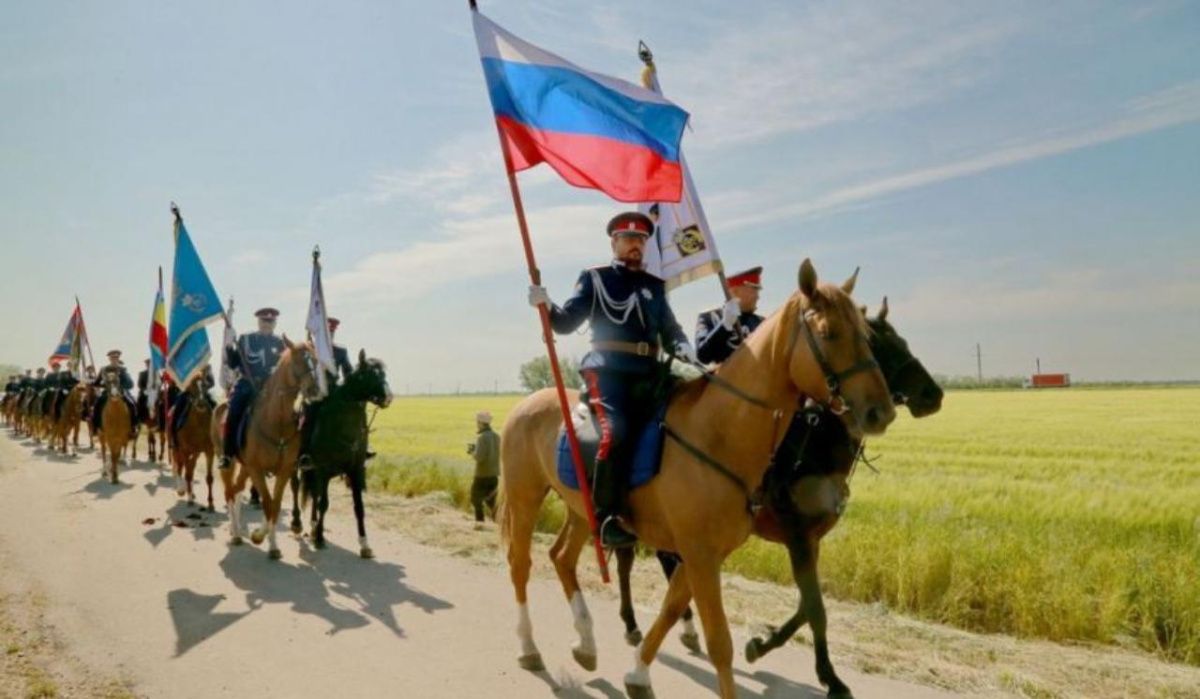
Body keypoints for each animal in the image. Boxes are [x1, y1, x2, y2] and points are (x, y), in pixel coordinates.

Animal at [174, 381, 218, 511]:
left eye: (205, 384)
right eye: (192, 385)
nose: (201, 403)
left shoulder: (209, 451)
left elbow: (209, 478)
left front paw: (211, 503)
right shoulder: (185, 451)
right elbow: (187, 474)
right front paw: (189, 499)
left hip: (196, 453)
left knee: (191, 468)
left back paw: (191, 492)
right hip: (178, 449)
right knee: (180, 467)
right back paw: (182, 491)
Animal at [213, 338, 319, 564]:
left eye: (315, 360)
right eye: (297, 361)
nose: (314, 389)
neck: (276, 421)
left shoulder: (284, 471)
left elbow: (275, 505)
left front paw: (269, 542)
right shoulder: (257, 470)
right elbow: (268, 503)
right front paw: (263, 539)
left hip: (245, 467)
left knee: (237, 489)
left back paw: (237, 528)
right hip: (228, 462)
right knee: (229, 491)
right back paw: (235, 533)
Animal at [290, 353, 388, 562]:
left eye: (383, 373)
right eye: (367, 374)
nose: (388, 397)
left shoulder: (354, 471)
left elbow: (358, 507)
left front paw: (364, 544)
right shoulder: (324, 469)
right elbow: (324, 504)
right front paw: (319, 538)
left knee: (314, 494)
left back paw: (312, 526)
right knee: (295, 487)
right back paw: (297, 523)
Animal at [494, 260, 892, 696]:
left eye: (867, 336)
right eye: (828, 333)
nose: (881, 412)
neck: (719, 432)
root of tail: (527, 403)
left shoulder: (704, 553)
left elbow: (670, 610)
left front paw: (638, 674)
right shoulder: (703, 554)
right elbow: (720, 644)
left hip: (582, 509)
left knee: (562, 558)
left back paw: (585, 643)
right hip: (525, 497)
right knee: (520, 563)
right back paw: (529, 647)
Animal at [619, 297, 945, 699]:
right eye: (876, 343)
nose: (933, 395)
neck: (817, 446)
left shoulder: (812, 540)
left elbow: (809, 604)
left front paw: (764, 642)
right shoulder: (797, 537)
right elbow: (815, 608)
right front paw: (829, 678)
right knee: (630, 561)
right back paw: (640, 626)